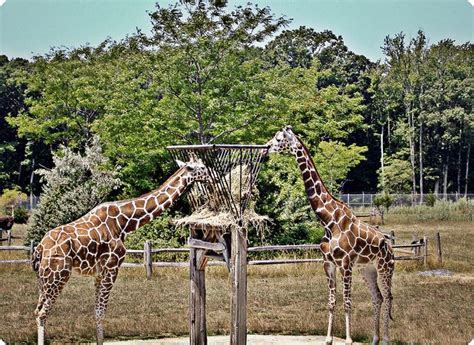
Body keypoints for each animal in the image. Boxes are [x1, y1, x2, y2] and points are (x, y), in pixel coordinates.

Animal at [32, 158, 210, 344]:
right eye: (202, 167)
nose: (211, 177)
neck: (125, 223)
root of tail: (40, 248)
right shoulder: (112, 266)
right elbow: (101, 312)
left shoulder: (99, 272)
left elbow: (97, 312)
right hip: (58, 275)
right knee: (42, 313)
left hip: (43, 279)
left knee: (37, 310)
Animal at [266, 126, 396, 344]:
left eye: (278, 139)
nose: (265, 148)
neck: (328, 221)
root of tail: (391, 246)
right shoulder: (328, 263)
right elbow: (332, 302)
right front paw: (329, 339)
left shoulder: (345, 263)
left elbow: (347, 302)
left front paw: (349, 339)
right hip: (367, 269)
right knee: (377, 297)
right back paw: (375, 339)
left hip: (385, 267)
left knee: (387, 297)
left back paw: (386, 339)